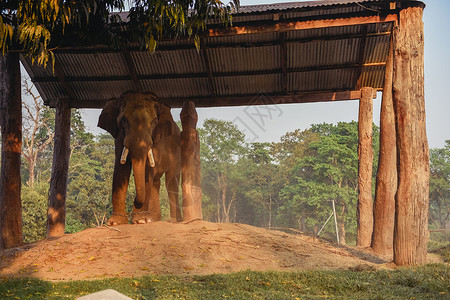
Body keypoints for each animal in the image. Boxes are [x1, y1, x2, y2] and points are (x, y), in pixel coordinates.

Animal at [97, 91, 182, 225]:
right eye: (124, 121)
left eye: (154, 122)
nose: (135, 201)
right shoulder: (119, 137)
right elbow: (121, 167)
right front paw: (115, 222)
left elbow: (148, 170)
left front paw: (141, 221)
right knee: (156, 182)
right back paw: (154, 220)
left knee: (171, 181)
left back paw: (174, 220)